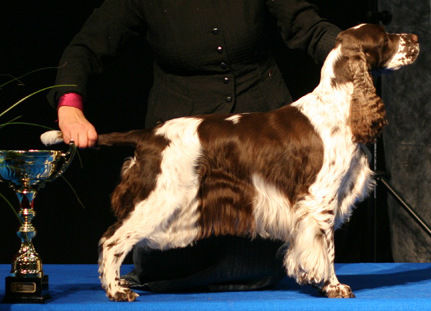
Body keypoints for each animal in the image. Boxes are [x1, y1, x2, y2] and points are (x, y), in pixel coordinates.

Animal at [42, 23, 420, 302]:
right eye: (385, 37)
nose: (416, 38)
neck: (340, 103)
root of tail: (150, 135)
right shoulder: (320, 200)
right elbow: (325, 249)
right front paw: (333, 286)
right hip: (159, 199)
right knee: (111, 240)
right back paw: (116, 290)